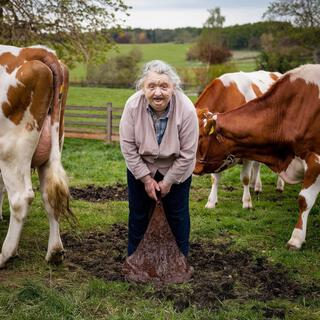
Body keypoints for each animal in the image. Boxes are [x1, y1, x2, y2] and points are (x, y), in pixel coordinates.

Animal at [0, 43, 73, 266]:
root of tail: (34, 50)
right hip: (53, 145)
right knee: (50, 196)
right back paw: (55, 251)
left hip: (11, 150)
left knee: (21, 199)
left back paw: (5, 254)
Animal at [195, 71, 282, 209]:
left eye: (200, 137)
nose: (194, 170)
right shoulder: (216, 153)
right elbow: (215, 178)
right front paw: (211, 202)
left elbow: (245, 178)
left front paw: (247, 202)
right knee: (257, 165)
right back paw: (256, 186)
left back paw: (278, 185)